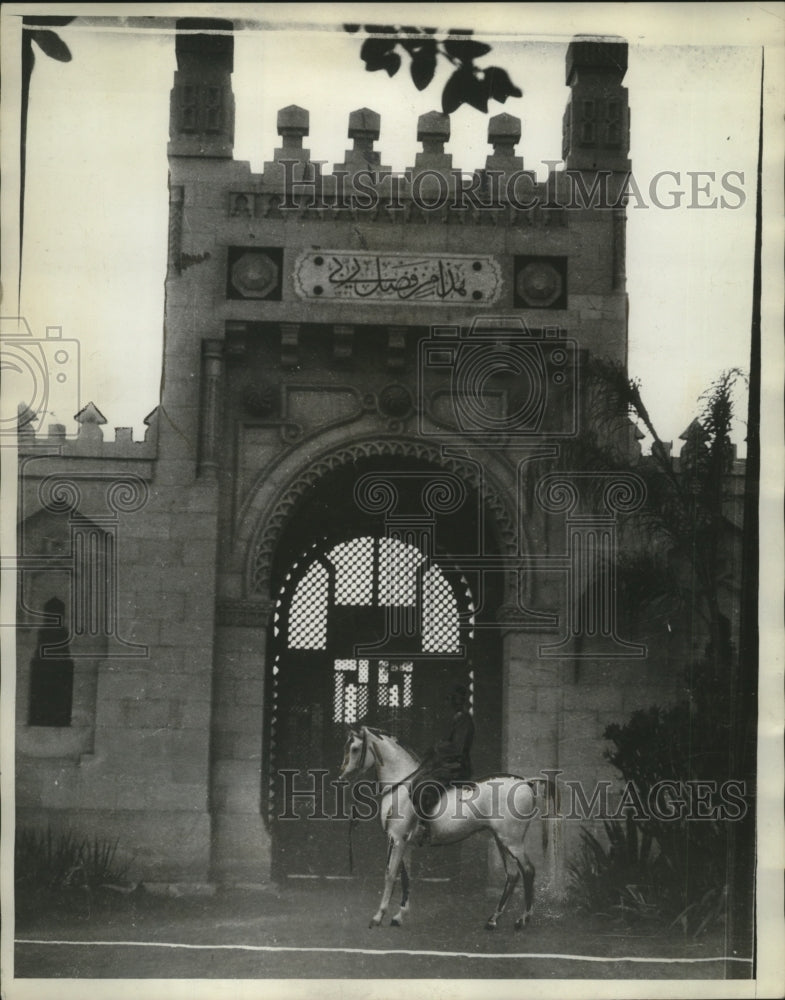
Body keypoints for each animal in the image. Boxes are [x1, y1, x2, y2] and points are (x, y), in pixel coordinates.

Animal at [338, 728, 556, 928]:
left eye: (355, 749)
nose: (342, 778)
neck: (402, 786)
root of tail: (526, 782)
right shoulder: (405, 843)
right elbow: (405, 877)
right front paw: (399, 916)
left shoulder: (396, 839)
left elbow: (390, 875)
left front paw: (378, 916)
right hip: (500, 839)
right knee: (512, 875)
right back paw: (493, 919)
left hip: (511, 841)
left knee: (528, 871)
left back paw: (523, 919)